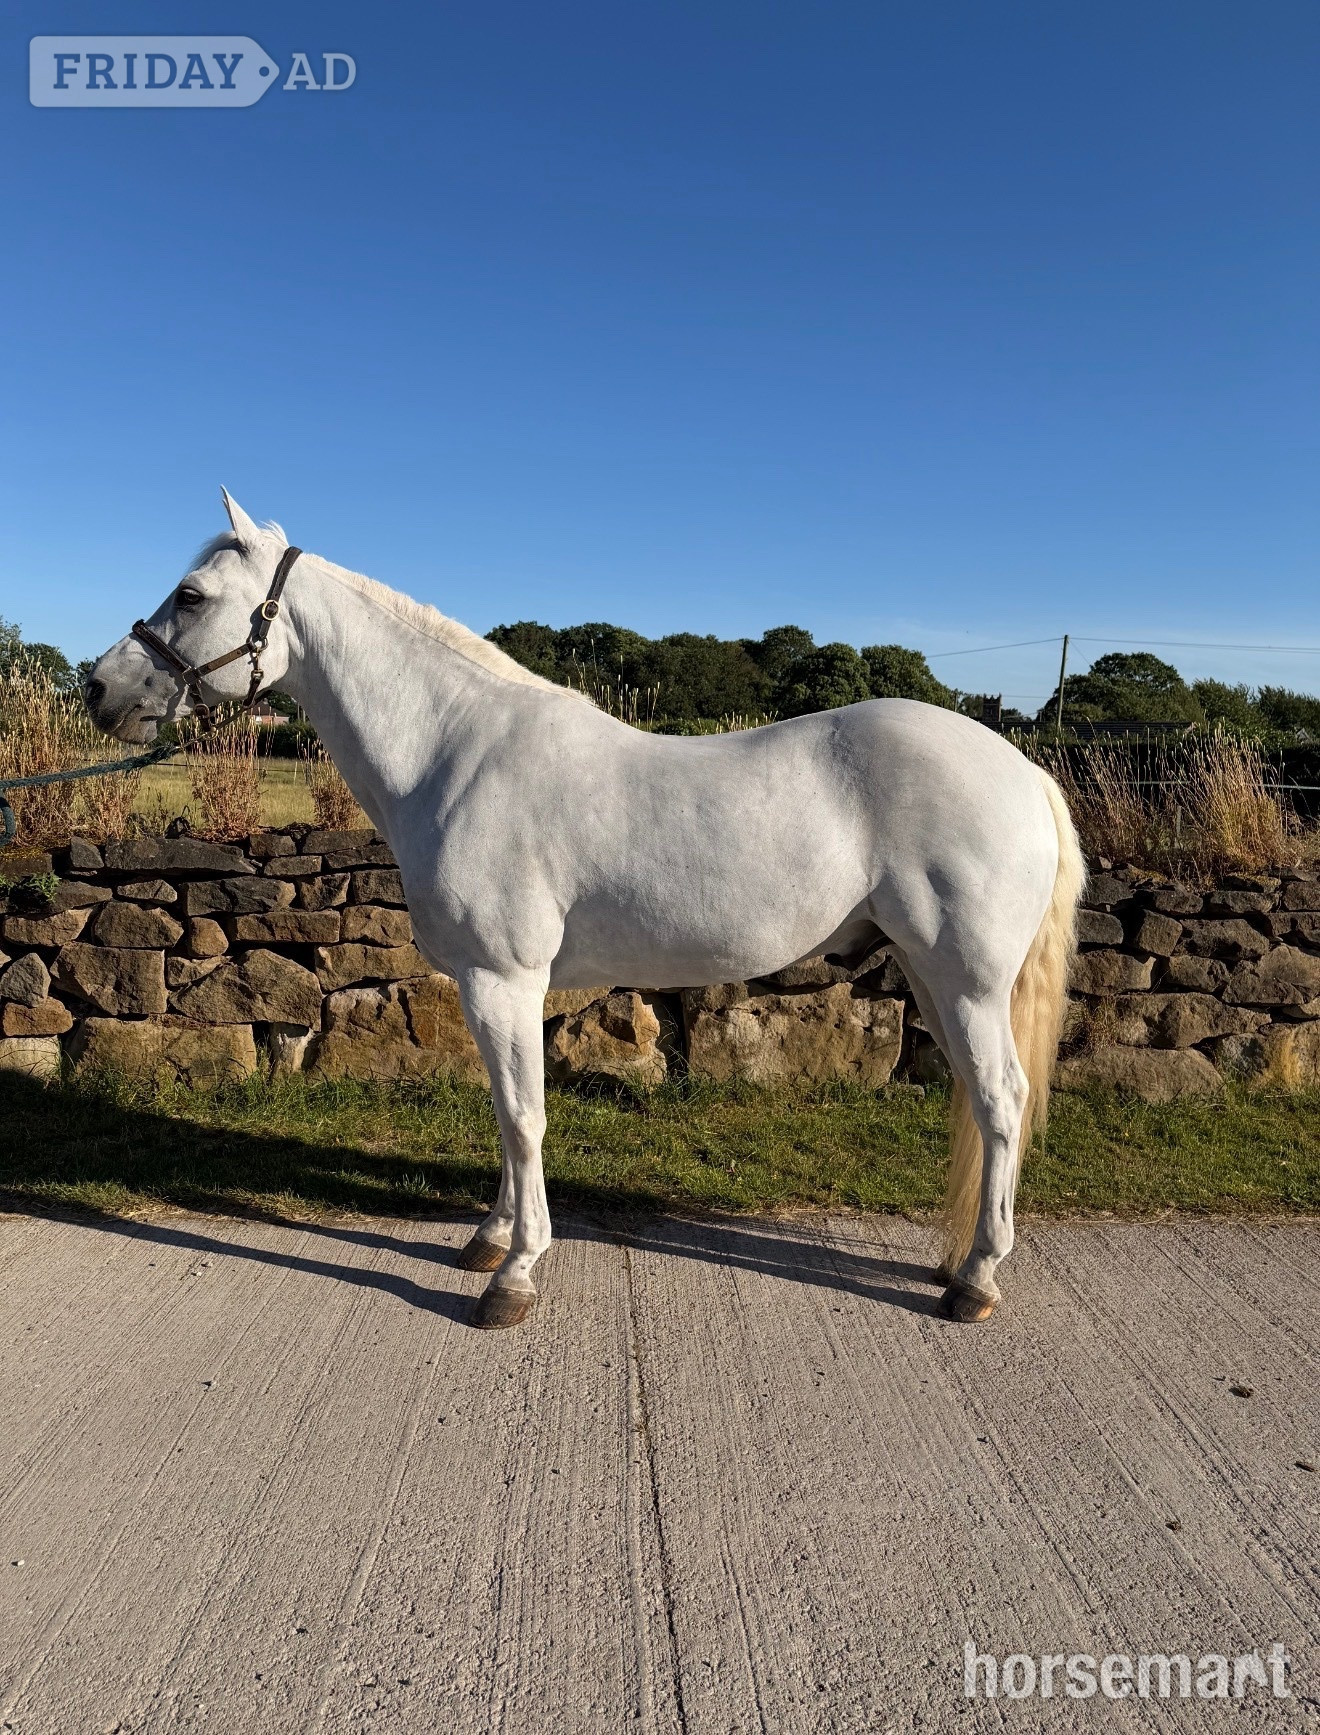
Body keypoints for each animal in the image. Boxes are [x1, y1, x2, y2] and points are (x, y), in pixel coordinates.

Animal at [85, 490, 1084, 1329]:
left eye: (191, 593)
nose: (98, 688)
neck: (454, 752)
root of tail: (1023, 771)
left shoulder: (503, 979)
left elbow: (527, 1117)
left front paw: (515, 1276)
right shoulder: (491, 988)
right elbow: (505, 1111)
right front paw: (488, 1238)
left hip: (967, 981)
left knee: (1002, 1100)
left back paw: (976, 1281)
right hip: (933, 975)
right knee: (982, 1100)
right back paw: (958, 1263)